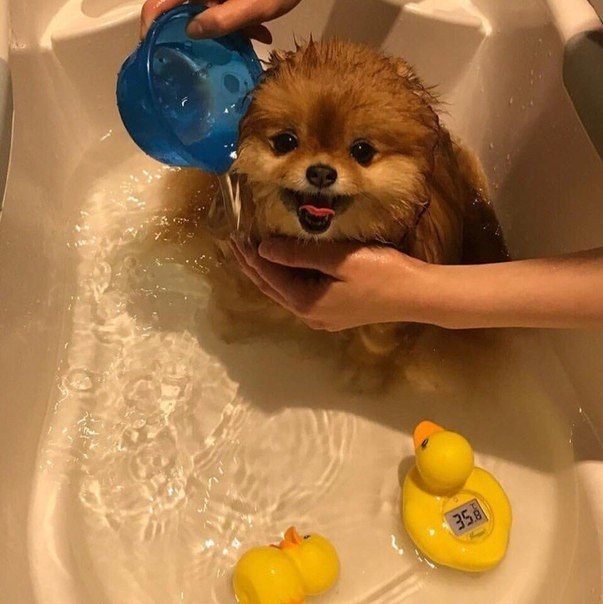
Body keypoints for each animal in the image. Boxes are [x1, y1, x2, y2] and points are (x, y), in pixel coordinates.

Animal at [182, 37, 508, 386]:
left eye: (362, 151)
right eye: (285, 141)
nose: (321, 172)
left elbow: (376, 343)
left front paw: (362, 375)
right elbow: (239, 301)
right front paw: (230, 326)